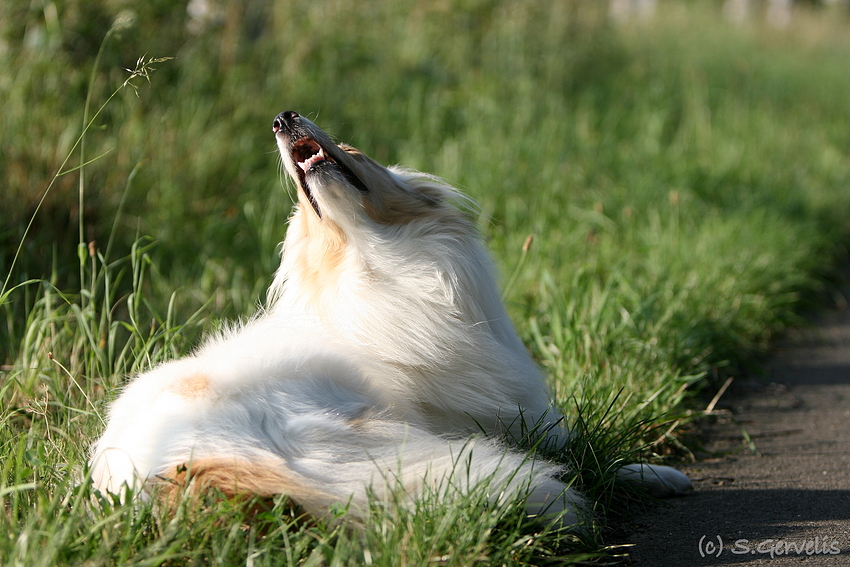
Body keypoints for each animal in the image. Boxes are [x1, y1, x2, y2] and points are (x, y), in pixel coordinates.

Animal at [89, 112, 692, 532]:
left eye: (355, 152)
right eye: (306, 206)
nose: (282, 118)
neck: (373, 264)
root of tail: (166, 470)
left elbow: (592, 453)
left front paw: (654, 474)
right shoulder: (473, 421)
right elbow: (583, 459)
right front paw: (651, 476)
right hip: (372, 433)